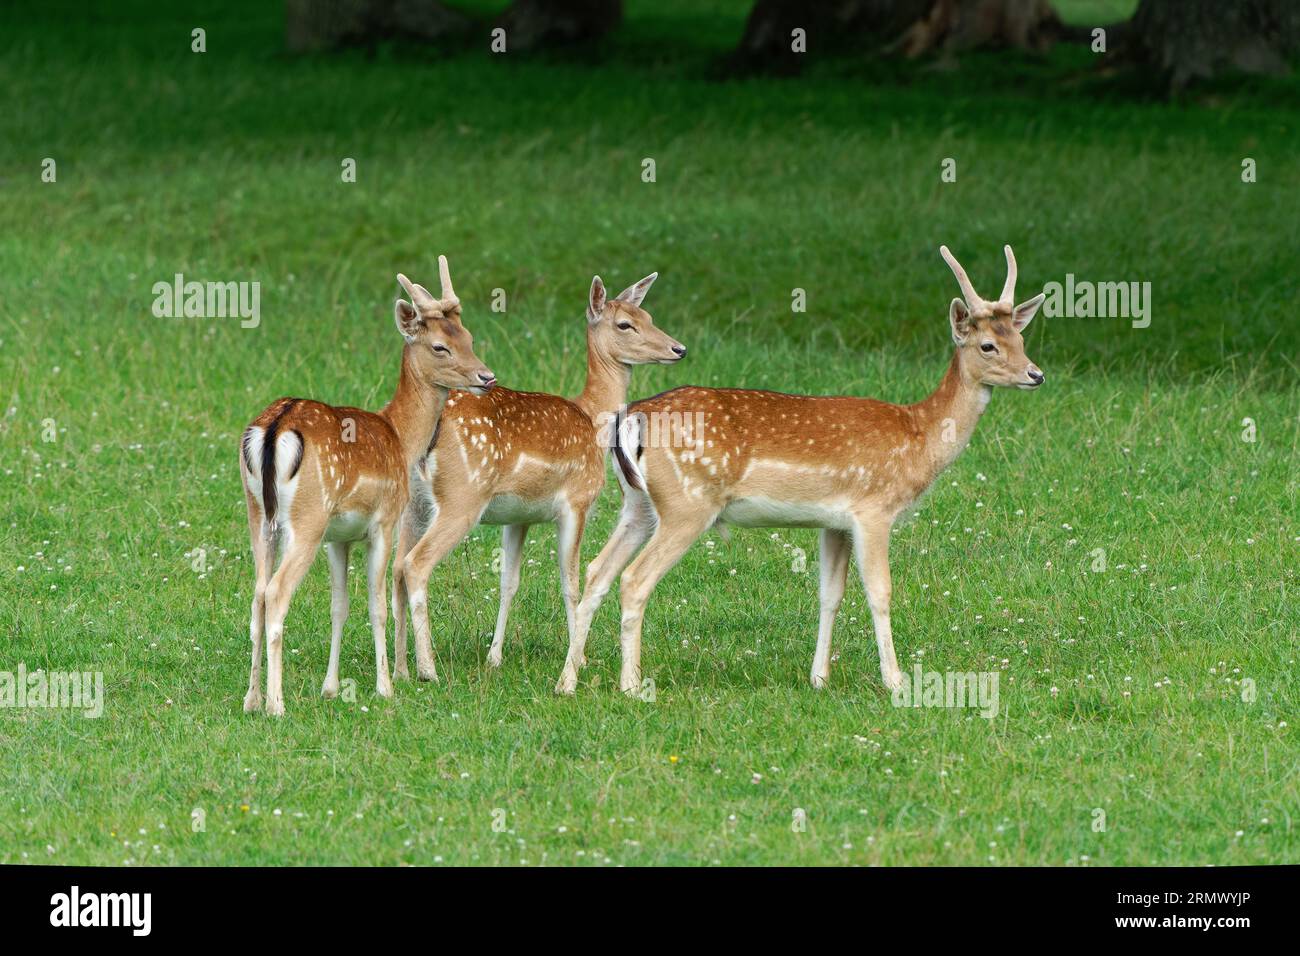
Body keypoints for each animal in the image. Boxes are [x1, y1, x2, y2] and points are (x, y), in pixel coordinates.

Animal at [237, 256, 491, 717]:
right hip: (307, 518)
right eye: (439, 347)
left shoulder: (339, 537)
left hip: (259, 516)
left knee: (258, 594)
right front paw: (386, 687)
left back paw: (252, 699)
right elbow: (377, 604)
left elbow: (339, 606)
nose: (486, 376)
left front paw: (330, 688)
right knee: (277, 593)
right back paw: (277, 705)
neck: (400, 437)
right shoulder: (383, 521)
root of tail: (274, 427)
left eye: (467, 337)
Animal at [390, 273, 686, 686]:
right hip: (462, 497)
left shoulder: (519, 516)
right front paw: (580, 659)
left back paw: (400, 669)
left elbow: (508, 581)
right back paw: (427, 669)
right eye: (625, 324)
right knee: (416, 564)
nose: (678, 349)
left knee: (396, 569)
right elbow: (571, 581)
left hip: (416, 503)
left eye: (648, 315)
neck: (592, 418)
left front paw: (494, 656)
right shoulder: (577, 501)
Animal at [559, 244, 1045, 697]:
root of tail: (631, 417)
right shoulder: (874, 509)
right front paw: (895, 681)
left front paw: (819, 678)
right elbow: (880, 592)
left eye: (1021, 341)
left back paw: (569, 680)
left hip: (639, 503)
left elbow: (830, 595)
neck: (918, 437)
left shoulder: (834, 522)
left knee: (597, 570)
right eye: (988, 345)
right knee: (634, 579)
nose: (1036, 374)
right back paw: (630, 686)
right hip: (688, 503)